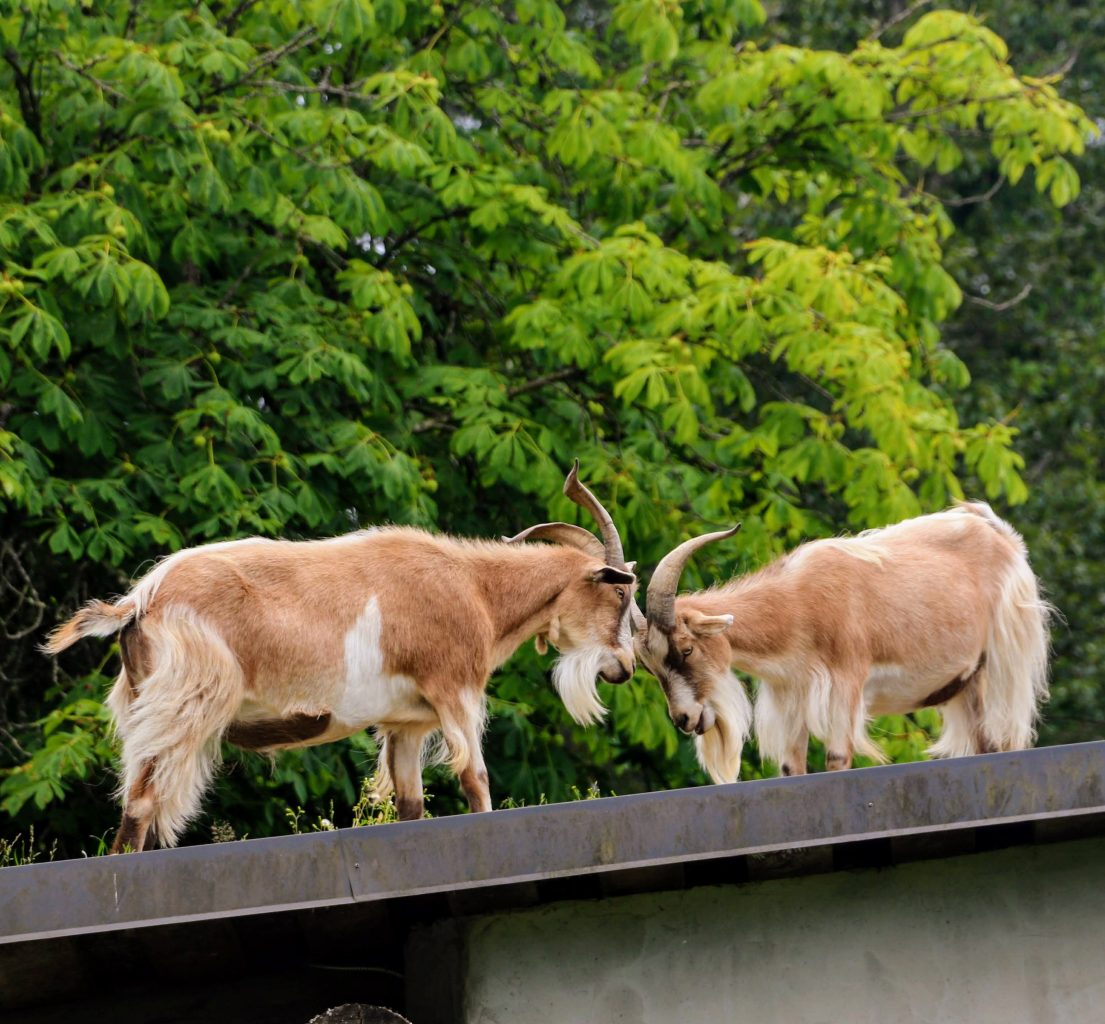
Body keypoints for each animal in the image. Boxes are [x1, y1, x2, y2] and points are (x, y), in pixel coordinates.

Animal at [47, 463, 636, 848]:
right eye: (620, 593)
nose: (625, 669)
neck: (475, 588)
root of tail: (141, 600)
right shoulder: (455, 691)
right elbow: (477, 779)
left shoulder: (407, 723)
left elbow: (412, 806)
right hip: (184, 703)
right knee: (143, 803)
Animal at [636, 503, 1047, 786]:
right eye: (651, 667)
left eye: (687, 649)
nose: (684, 718)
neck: (797, 602)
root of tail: (1000, 535)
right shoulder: (791, 696)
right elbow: (791, 767)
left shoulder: (846, 683)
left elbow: (836, 757)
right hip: (967, 682)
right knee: (984, 744)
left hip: (1003, 665)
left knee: (1005, 739)